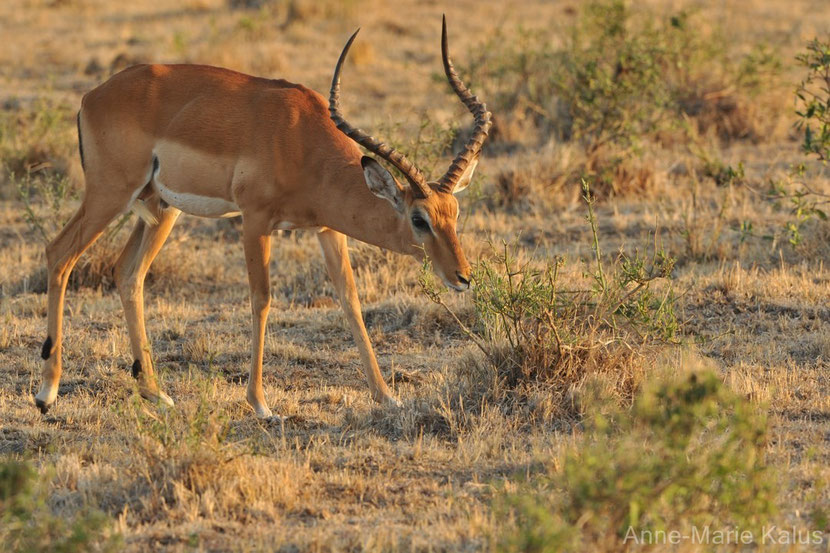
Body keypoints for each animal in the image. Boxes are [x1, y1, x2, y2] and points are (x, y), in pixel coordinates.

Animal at [35, 15, 490, 416]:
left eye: (453, 212)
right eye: (419, 219)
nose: (464, 277)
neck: (300, 139)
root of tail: (90, 97)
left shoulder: (327, 228)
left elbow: (351, 300)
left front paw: (386, 396)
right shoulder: (255, 221)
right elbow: (262, 299)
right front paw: (260, 404)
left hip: (160, 207)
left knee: (128, 273)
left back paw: (155, 393)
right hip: (109, 194)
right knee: (59, 254)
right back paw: (47, 392)